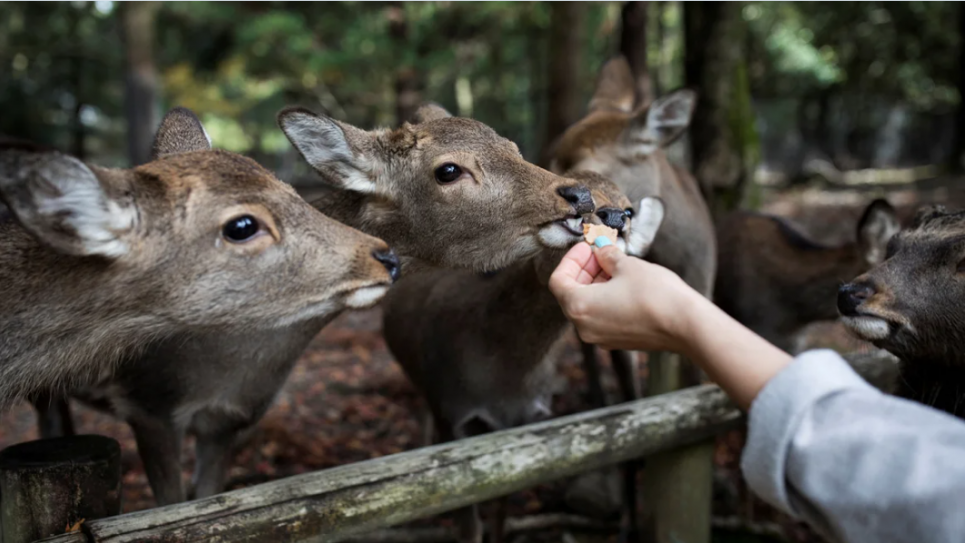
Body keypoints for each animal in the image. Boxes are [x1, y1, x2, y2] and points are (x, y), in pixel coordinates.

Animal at [380, 172, 668, 543]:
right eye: (579, 200)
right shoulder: (452, 414)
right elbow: (468, 524)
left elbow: (502, 508)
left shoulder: (522, 422)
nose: (616, 218)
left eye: (629, 209)